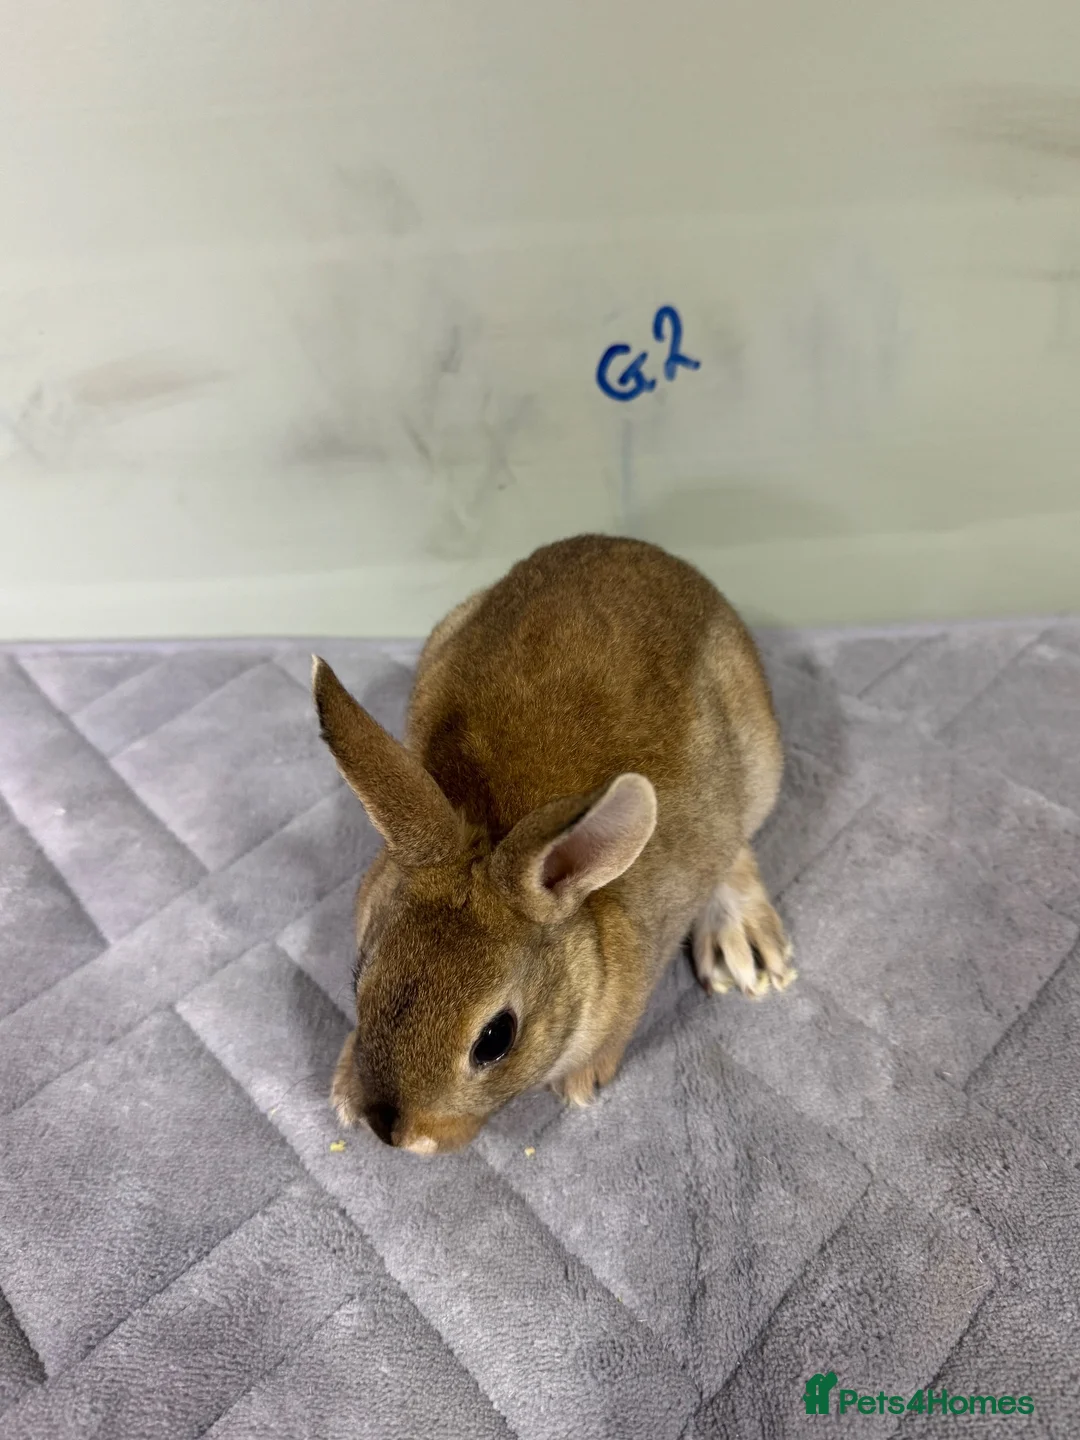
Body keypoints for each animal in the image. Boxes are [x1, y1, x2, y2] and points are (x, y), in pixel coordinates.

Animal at [313, 533, 795, 1155]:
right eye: (360, 977)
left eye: (495, 1039)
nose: (391, 1132)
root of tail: (642, 548)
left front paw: (581, 1082)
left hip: (759, 762)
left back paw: (745, 950)